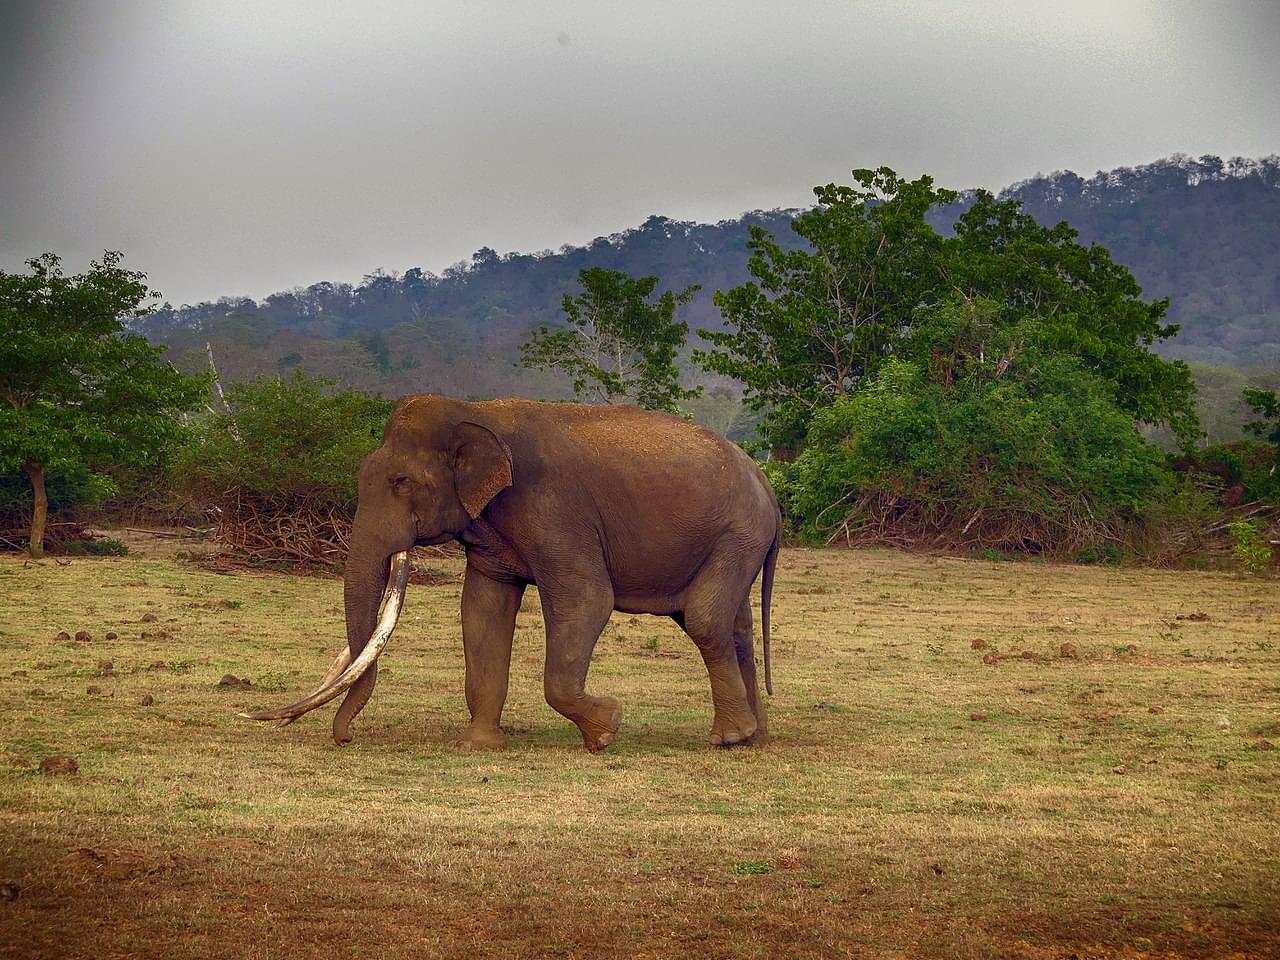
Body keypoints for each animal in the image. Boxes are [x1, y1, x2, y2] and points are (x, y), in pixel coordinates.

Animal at [243, 396, 773, 752]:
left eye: (401, 482)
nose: (345, 738)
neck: (476, 410)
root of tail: (764, 478)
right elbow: (482, 610)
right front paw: (479, 745)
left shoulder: (555, 510)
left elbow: (586, 599)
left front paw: (607, 729)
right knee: (733, 626)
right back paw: (754, 737)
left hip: (739, 534)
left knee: (704, 618)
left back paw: (729, 738)